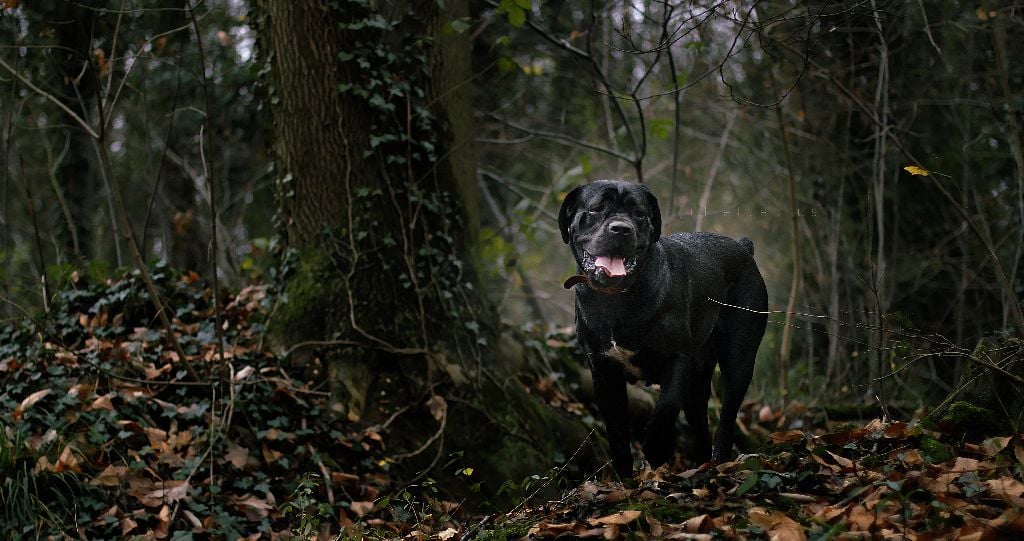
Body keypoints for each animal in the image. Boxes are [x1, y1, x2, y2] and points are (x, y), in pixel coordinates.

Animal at [561, 179, 770, 475]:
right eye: (596, 209)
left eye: (639, 214)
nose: (621, 229)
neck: (617, 299)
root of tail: (743, 248)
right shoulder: (604, 373)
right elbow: (617, 433)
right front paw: (625, 478)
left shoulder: (676, 357)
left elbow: (667, 406)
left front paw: (656, 448)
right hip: (699, 378)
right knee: (700, 422)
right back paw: (703, 466)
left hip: (738, 360)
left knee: (727, 417)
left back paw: (719, 462)